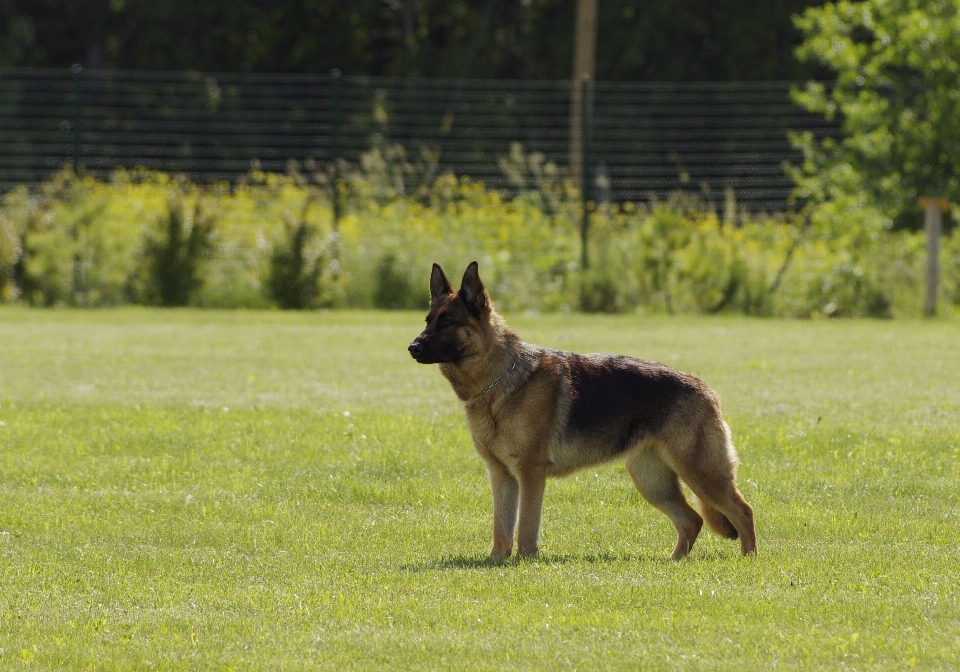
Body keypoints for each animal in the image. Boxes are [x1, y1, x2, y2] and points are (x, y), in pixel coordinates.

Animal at [408, 262, 752, 560]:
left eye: (447, 322)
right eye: (428, 321)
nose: (412, 348)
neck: (500, 380)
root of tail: (706, 389)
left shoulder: (531, 473)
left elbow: (526, 527)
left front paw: (524, 561)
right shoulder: (501, 476)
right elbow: (501, 529)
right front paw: (497, 561)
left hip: (700, 473)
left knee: (742, 511)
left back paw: (748, 561)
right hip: (653, 481)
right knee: (692, 521)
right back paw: (674, 562)